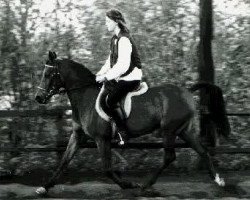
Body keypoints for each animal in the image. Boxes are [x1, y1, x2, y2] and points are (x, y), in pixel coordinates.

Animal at [34, 51, 230, 194]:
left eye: (48, 74)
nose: (38, 98)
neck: (85, 97)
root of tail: (187, 91)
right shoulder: (77, 135)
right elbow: (64, 161)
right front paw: (44, 187)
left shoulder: (101, 139)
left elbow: (107, 169)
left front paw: (128, 185)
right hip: (184, 131)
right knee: (203, 151)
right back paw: (218, 180)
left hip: (169, 130)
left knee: (170, 156)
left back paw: (145, 185)